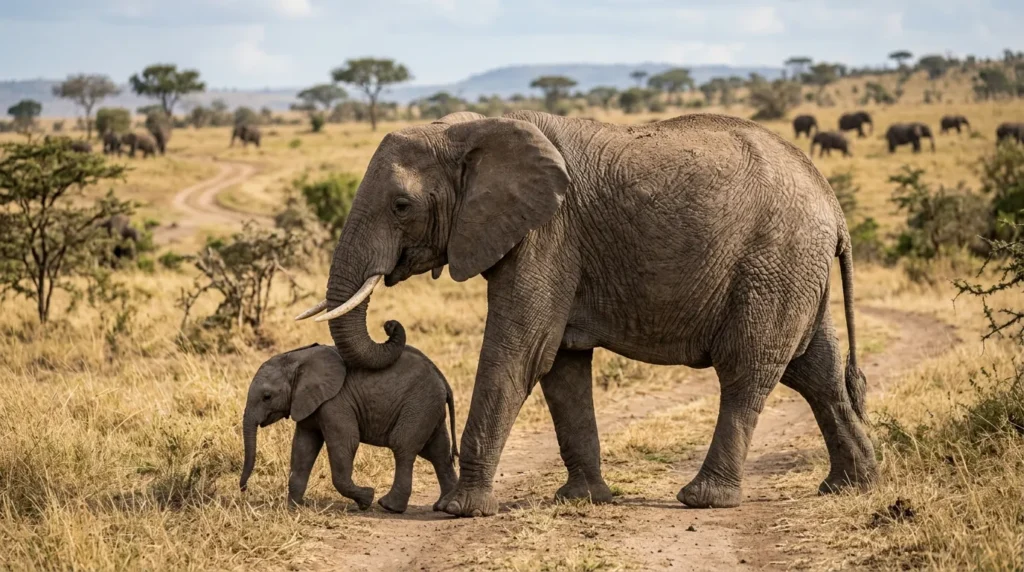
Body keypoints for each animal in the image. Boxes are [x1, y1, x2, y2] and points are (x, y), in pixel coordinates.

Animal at [239, 342, 458, 514]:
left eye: (267, 397)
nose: (243, 489)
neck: (297, 358)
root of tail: (442, 380)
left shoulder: (335, 402)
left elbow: (344, 444)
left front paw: (367, 498)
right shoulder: (307, 402)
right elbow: (303, 447)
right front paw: (293, 509)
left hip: (419, 405)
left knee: (403, 446)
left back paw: (389, 506)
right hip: (428, 407)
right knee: (438, 452)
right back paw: (443, 506)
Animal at [295, 110, 875, 517]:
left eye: (401, 206)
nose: (392, 326)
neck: (472, 129)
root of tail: (833, 205)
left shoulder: (547, 235)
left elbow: (521, 349)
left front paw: (458, 510)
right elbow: (562, 367)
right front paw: (584, 499)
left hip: (773, 264)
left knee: (746, 373)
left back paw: (703, 499)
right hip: (797, 268)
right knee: (817, 373)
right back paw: (851, 484)